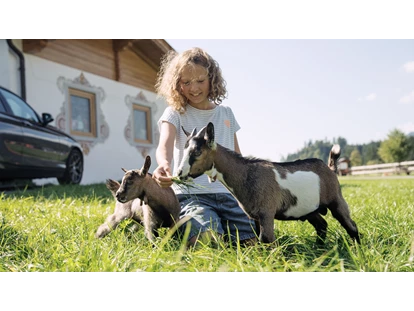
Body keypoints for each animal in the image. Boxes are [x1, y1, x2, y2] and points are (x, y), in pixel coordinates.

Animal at [176, 122, 360, 246]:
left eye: (197, 151)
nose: (179, 173)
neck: (246, 174)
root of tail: (330, 168)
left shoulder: (267, 213)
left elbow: (267, 240)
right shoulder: (256, 217)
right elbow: (260, 241)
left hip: (336, 199)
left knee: (350, 225)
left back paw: (357, 249)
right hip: (308, 209)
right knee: (322, 225)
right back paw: (319, 249)